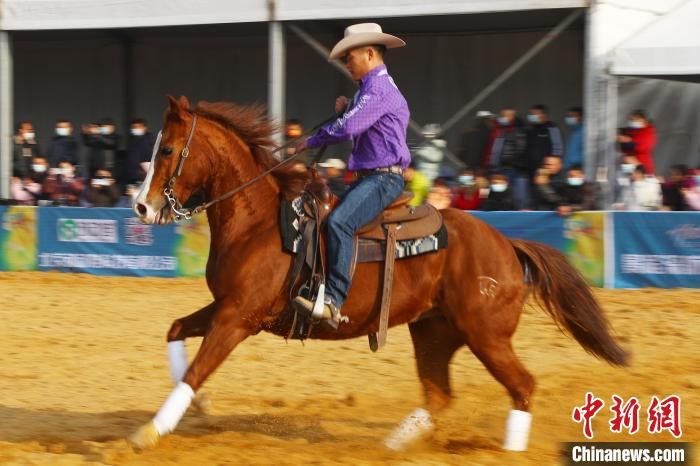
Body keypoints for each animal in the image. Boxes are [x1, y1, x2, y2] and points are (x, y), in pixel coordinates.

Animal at [131, 97, 628, 452]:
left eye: (168, 149)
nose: (141, 207)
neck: (261, 223)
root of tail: (507, 245)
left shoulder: (238, 317)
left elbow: (197, 369)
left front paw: (150, 431)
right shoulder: (227, 307)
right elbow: (176, 332)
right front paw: (195, 408)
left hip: (486, 335)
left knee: (521, 385)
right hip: (434, 333)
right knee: (439, 396)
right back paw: (392, 445)